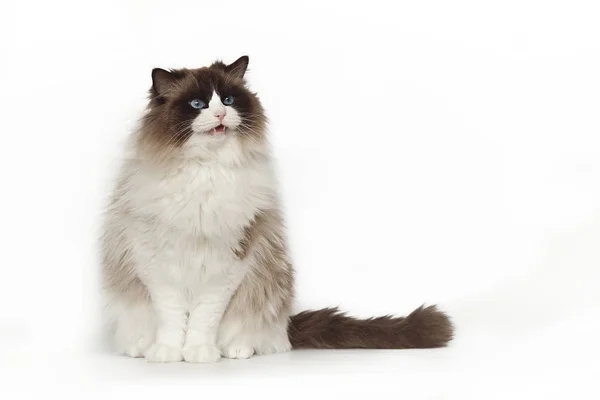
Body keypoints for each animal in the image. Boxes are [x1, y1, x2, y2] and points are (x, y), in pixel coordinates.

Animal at [101, 55, 452, 362]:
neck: (206, 171)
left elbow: (203, 319)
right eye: (198, 105)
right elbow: (172, 319)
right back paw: (141, 348)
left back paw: (237, 349)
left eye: (228, 100)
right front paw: (169, 355)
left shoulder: (228, 264)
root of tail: (287, 327)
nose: (220, 115)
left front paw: (200, 354)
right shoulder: (157, 263)